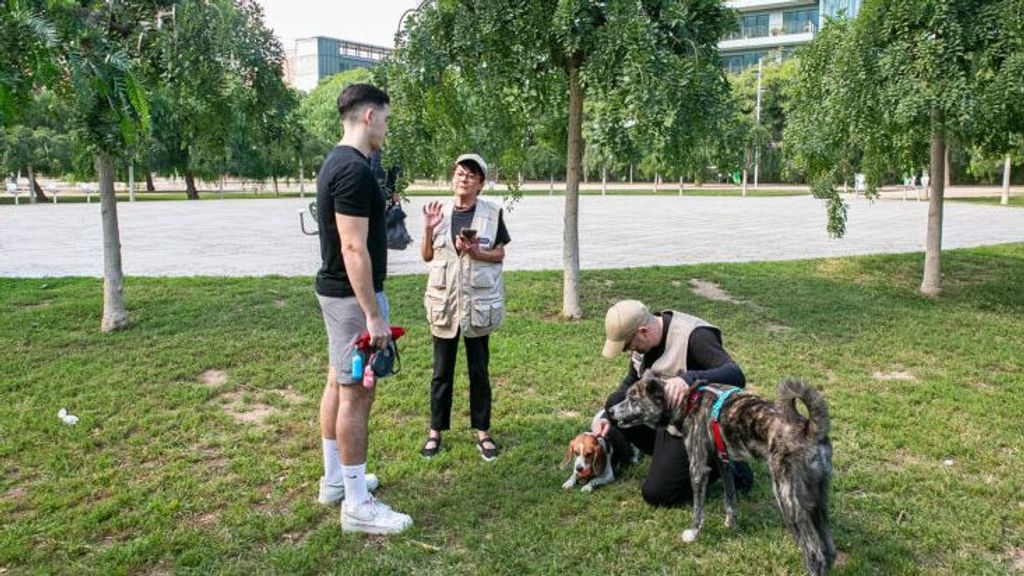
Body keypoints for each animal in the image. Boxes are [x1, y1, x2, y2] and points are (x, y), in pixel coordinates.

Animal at [606, 377, 831, 573]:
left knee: (814, 554)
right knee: (828, 549)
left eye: (633, 399)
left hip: (787, 500)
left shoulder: (697, 468)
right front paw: (731, 524)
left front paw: (693, 534)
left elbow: (698, 510)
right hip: (817, 502)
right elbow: (730, 498)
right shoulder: (723, 462)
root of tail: (809, 428)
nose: (609, 411)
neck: (686, 401)